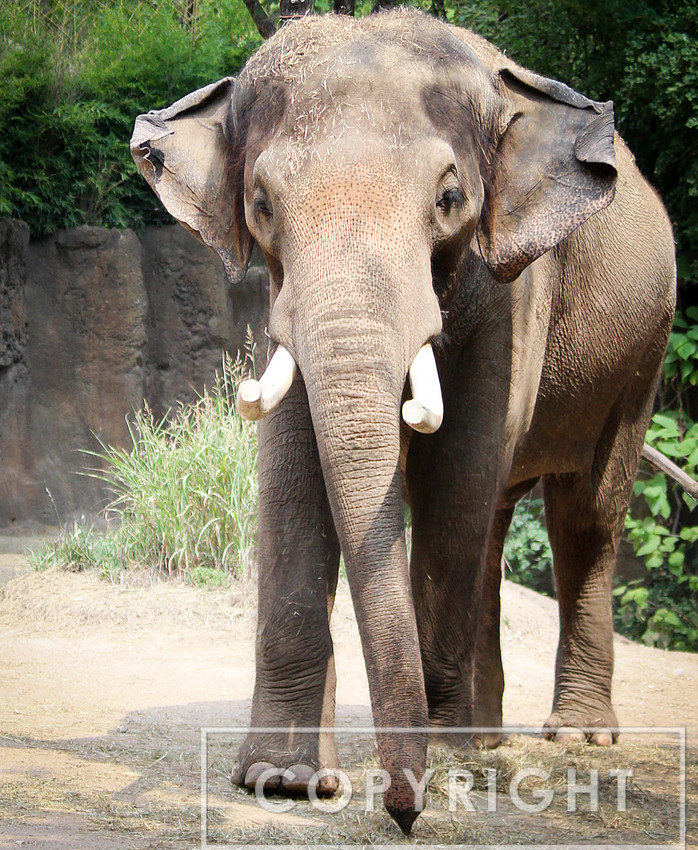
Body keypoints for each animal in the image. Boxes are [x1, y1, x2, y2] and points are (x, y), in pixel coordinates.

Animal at [131, 9, 676, 833]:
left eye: (449, 199)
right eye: (261, 206)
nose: (403, 813)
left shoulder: (514, 291)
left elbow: (455, 470)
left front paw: (437, 767)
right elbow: (292, 466)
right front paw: (281, 779)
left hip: (643, 352)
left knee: (582, 514)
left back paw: (565, 738)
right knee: (495, 522)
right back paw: (485, 739)